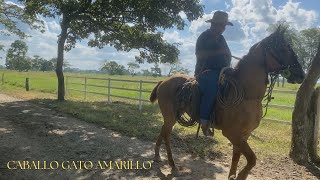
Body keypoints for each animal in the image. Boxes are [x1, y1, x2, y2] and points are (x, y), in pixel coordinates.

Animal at [150, 27, 304, 179]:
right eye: (284, 48)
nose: (301, 74)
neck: (248, 94)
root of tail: (164, 81)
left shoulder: (244, 134)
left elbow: (236, 157)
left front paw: (233, 175)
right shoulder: (232, 133)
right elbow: (252, 159)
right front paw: (241, 175)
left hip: (172, 116)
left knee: (163, 130)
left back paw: (157, 156)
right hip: (170, 116)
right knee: (167, 136)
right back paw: (173, 166)